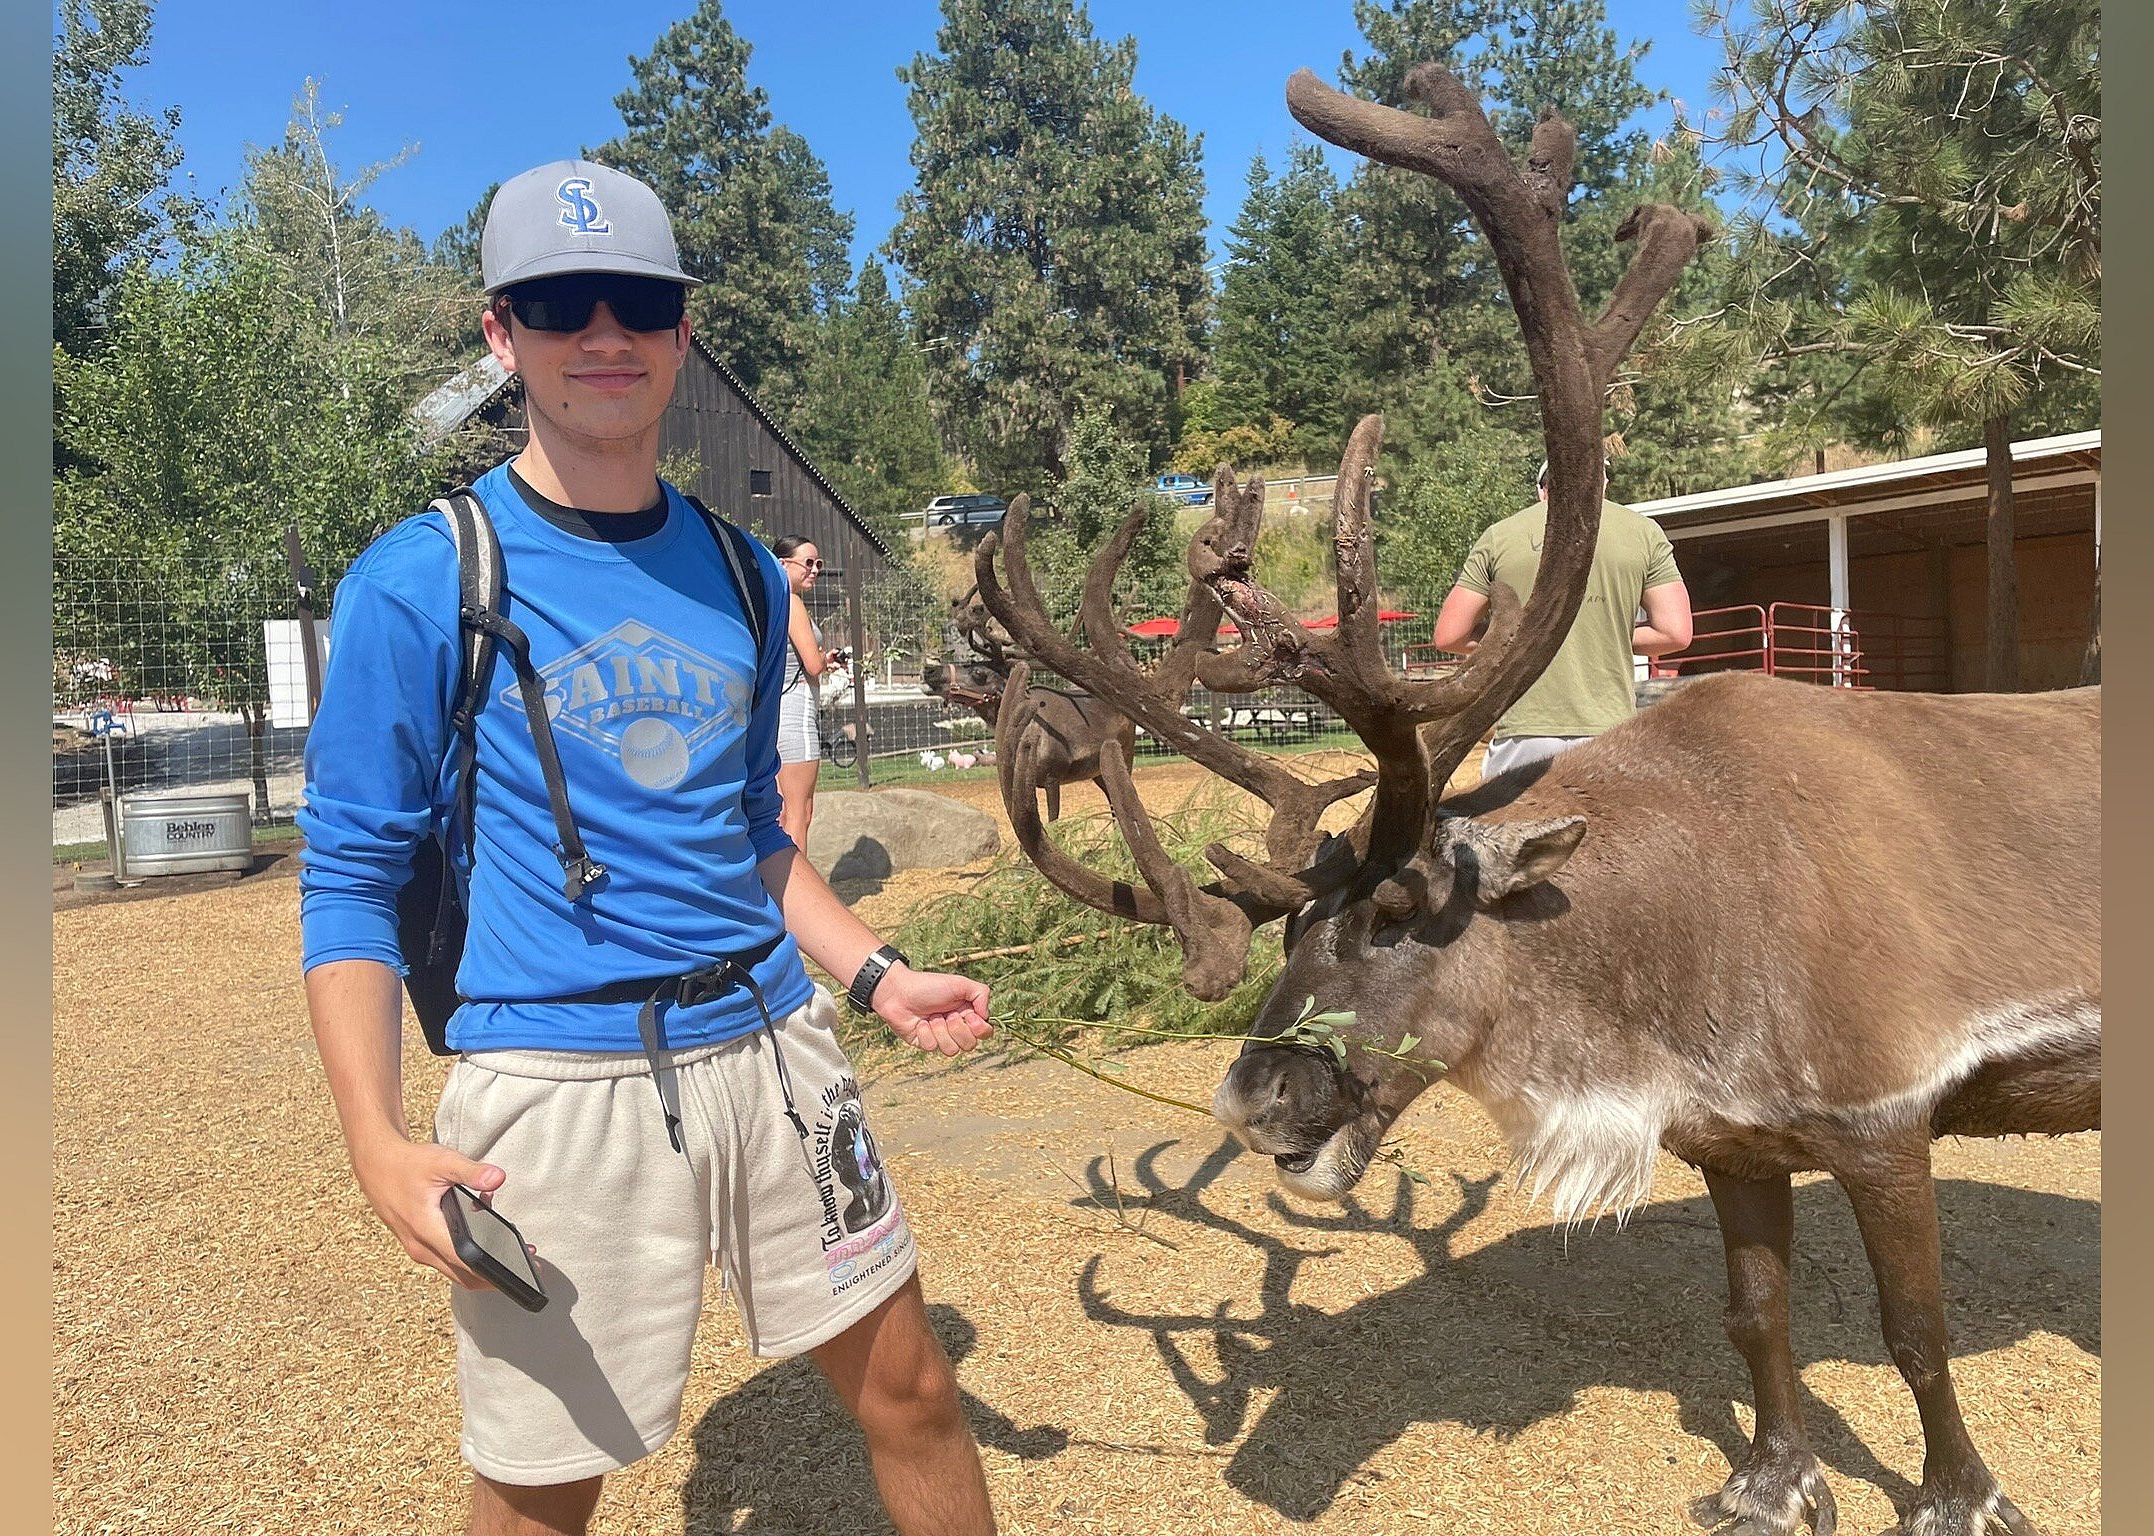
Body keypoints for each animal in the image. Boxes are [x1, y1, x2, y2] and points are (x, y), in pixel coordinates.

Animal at [921, 586, 1136, 822]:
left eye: (979, 673)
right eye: (970, 662)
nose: (930, 670)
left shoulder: (1053, 776)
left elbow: (1053, 820)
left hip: (1126, 755)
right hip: (1097, 771)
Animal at [971, 62, 2098, 1536]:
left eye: (1400, 911)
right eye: (1286, 926)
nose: (1251, 1102)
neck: (1665, 943)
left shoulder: (1883, 1110)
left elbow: (1918, 1336)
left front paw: (1959, 1499)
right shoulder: (1735, 1138)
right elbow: (1753, 1316)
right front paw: (1769, 1482)